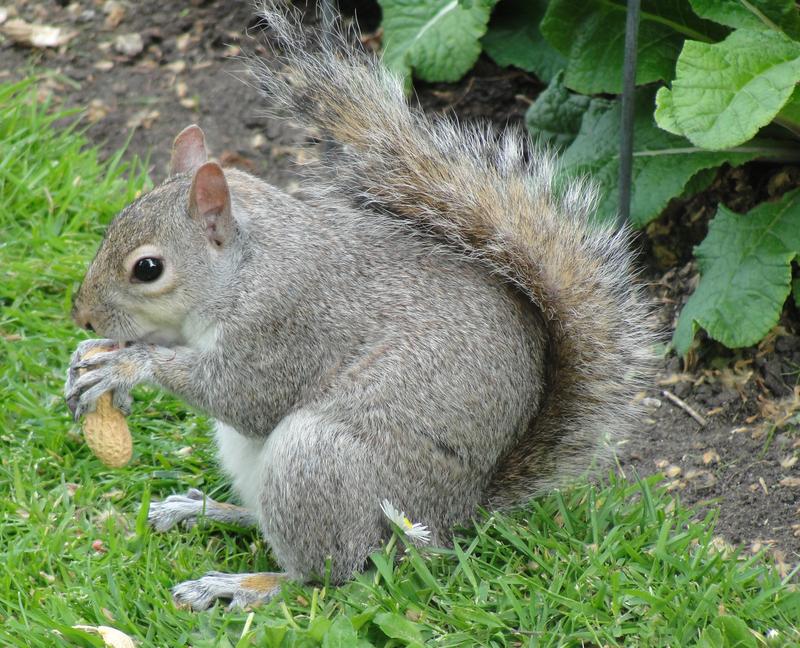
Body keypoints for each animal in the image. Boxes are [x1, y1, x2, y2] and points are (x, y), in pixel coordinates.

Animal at [62, 5, 648, 612]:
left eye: (148, 268)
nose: (82, 316)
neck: (247, 266)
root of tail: (457, 518)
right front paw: (89, 358)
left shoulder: (288, 324)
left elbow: (242, 395)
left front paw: (126, 365)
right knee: (269, 524)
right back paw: (202, 510)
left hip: (317, 461)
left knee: (327, 574)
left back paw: (241, 586)